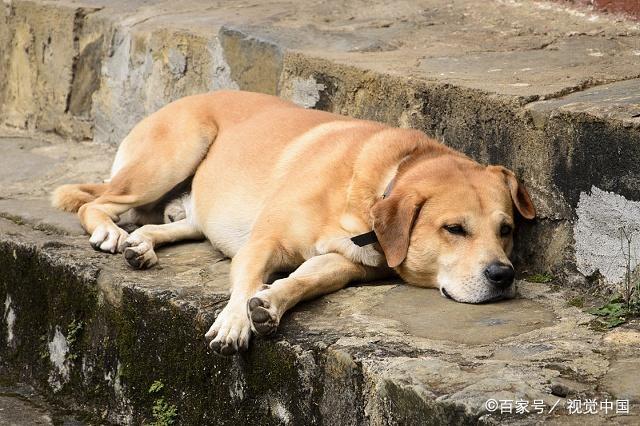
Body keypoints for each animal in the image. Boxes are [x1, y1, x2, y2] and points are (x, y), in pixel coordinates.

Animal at [53, 90, 536, 356]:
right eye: (454, 229)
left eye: (506, 230)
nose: (503, 275)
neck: (382, 182)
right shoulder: (262, 243)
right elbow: (246, 282)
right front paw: (234, 321)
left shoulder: (347, 264)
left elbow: (303, 279)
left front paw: (269, 303)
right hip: (169, 159)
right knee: (97, 203)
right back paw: (110, 232)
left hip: (198, 209)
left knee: (168, 224)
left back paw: (142, 245)